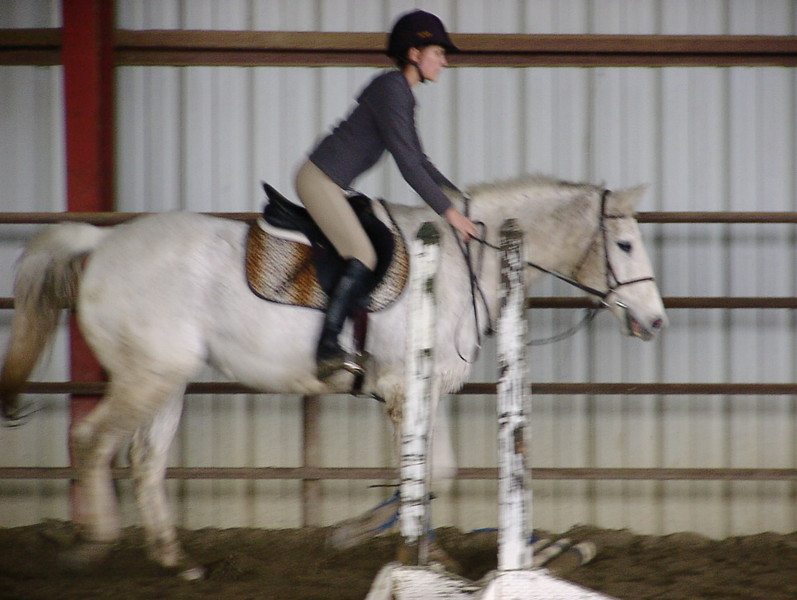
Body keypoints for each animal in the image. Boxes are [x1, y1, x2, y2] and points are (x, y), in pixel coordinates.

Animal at [0, 174, 666, 579]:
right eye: (626, 245)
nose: (656, 320)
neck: (463, 262)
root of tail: (102, 243)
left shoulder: (425, 389)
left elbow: (439, 470)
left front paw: (403, 542)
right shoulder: (403, 390)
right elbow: (423, 471)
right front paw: (374, 537)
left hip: (169, 378)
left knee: (145, 461)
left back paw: (175, 559)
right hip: (148, 376)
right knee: (92, 441)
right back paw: (96, 543)